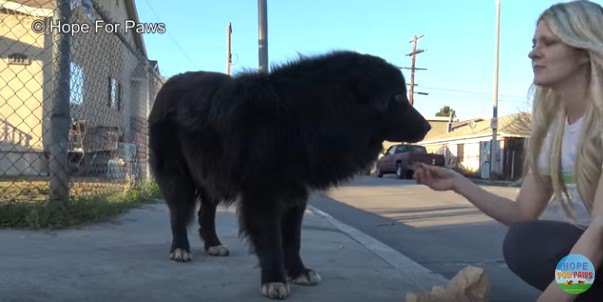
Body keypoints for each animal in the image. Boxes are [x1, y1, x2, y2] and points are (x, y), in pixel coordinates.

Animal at [147, 50, 430, 298]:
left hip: (212, 175)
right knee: (178, 212)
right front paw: (275, 280)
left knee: (205, 212)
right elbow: (272, 238)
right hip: (177, 173)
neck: (302, 115)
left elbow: (293, 239)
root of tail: (168, 84)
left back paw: (213, 244)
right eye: (398, 98)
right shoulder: (262, 194)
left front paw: (298, 272)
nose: (428, 127)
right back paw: (180, 249)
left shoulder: (296, 192)